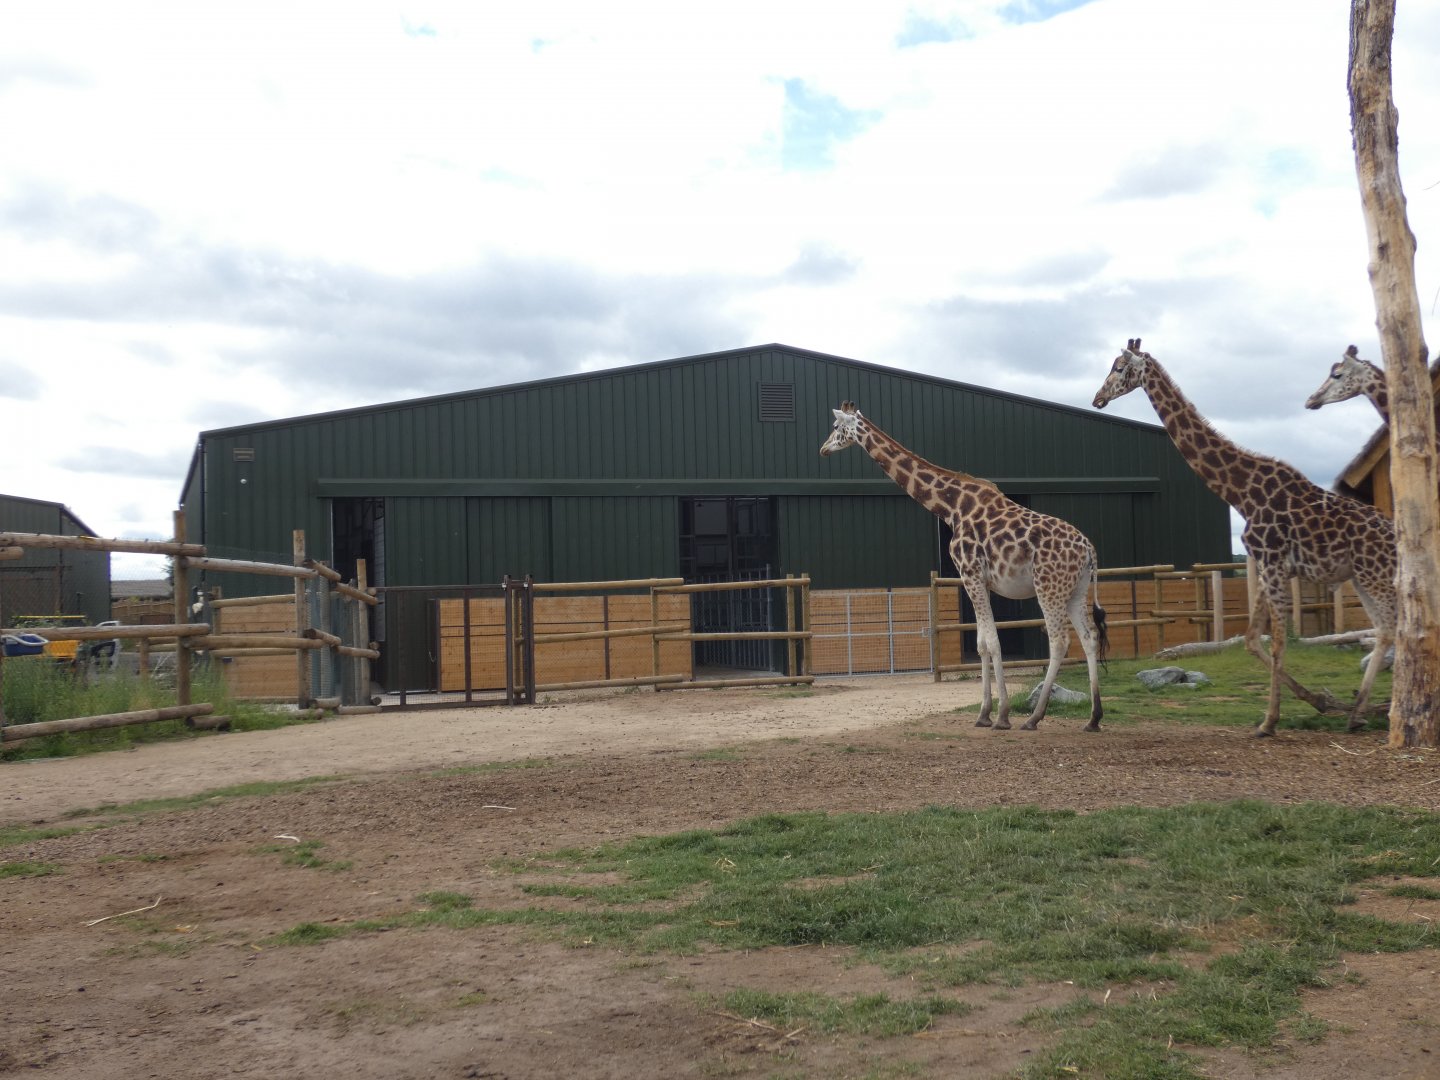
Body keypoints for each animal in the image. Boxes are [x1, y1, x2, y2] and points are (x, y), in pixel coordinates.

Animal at [820, 401, 1108, 731]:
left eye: (836, 427)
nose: (823, 449)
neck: (951, 506)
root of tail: (1089, 550)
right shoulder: (978, 581)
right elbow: (982, 643)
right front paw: (983, 714)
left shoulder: (970, 574)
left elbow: (993, 642)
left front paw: (1002, 716)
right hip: (1076, 590)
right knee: (1089, 638)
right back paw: (1093, 718)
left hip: (1049, 587)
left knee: (1059, 641)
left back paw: (1034, 718)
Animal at [1092, 339, 1397, 736]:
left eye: (1118, 367)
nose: (1097, 398)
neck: (1241, 493)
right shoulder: (1267, 566)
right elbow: (1253, 640)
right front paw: (1320, 701)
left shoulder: (1274, 564)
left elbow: (1279, 641)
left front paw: (1269, 721)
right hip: (1361, 577)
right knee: (1387, 629)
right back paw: (1360, 712)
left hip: (1377, 576)